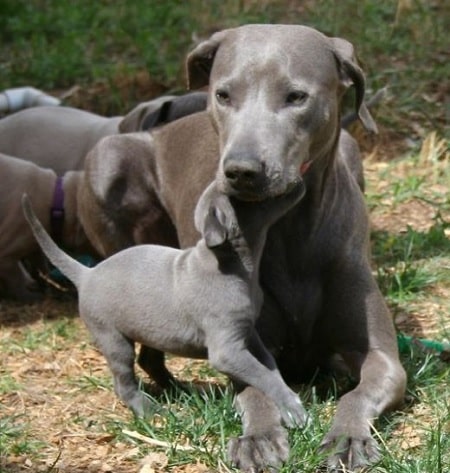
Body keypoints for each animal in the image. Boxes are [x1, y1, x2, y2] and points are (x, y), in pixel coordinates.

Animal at [0, 152, 87, 298]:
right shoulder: (8, 248)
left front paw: (47, 290)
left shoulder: (34, 245)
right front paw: (33, 296)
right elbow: (16, 279)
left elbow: (41, 266)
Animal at [22, 179, 308, 426]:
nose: (297, 178)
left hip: (152, 330)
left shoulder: (248, 333)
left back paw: (182, 390)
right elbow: (260, 373)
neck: (232, 263)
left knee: (149, 362)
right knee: (124, 381)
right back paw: (148, 408)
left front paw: (287, 395)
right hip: (112, 338)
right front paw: (293, 408)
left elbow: (268, 366)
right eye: (245, 193)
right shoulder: (227, 350)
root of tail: (87, 273)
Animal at [78, 24, 408, 470]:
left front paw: (347, 438)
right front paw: (260, 437)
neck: (289, 232)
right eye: (223, 94)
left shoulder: (382, 357)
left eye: (296, 96)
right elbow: (255, 388)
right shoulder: (239, 338)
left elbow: (360, 390)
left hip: (353, 151)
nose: (241, 171)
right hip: (107, 158)